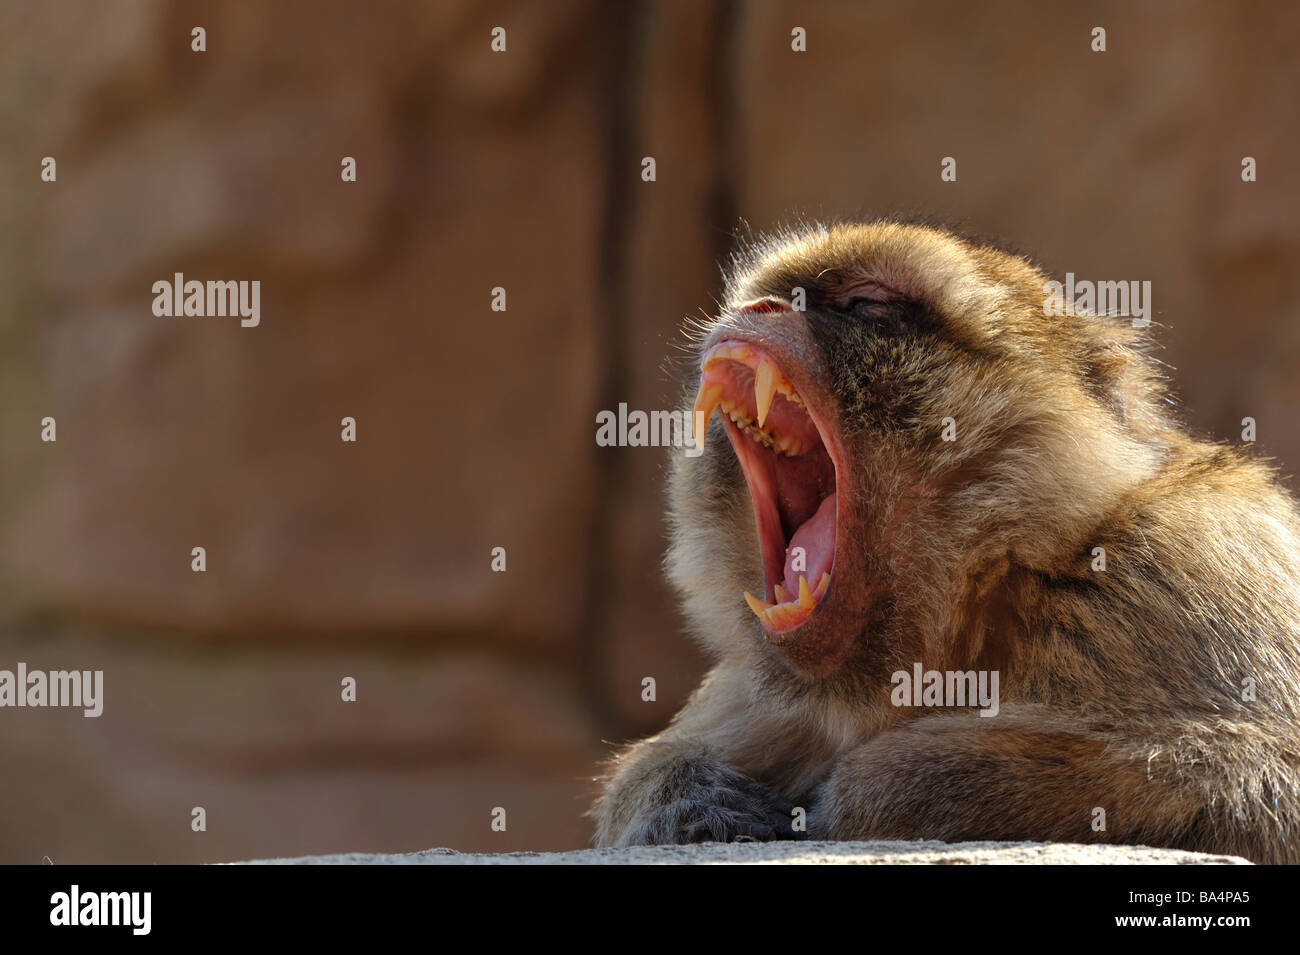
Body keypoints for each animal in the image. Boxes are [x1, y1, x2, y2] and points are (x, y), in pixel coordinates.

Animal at [590, 220, 1300, 862]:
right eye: (773, 296)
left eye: (863, 305)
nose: (755, 311)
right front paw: (686, 797)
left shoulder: (1191, 564)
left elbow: (1265, 780)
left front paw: (865, 793)